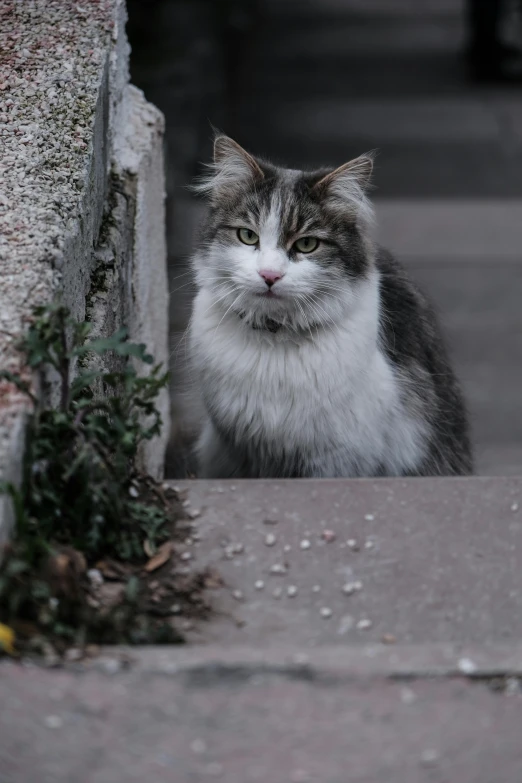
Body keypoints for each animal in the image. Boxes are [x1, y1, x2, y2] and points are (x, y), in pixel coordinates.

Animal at [188, 135, 472, 478]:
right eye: (247, 236)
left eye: (307, 244)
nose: (269, 275)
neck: (275, 341)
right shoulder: (241, 447)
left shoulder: (336, 458)